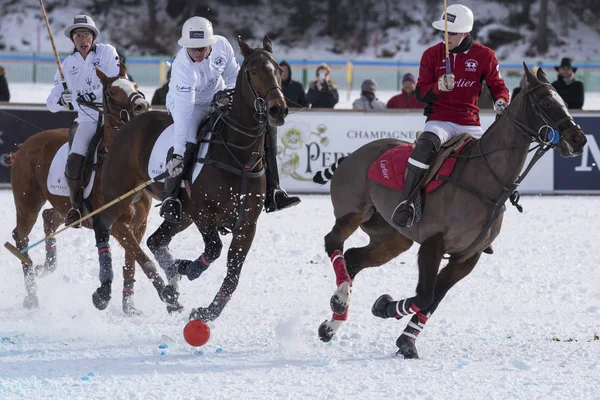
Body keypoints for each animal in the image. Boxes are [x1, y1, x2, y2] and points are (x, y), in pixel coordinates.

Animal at [9, 65, 169, 316]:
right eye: (112, 92)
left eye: (134, 85)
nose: (143, 106)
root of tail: (24, 145)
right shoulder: (117, 223)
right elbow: (143, 259)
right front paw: (168, 295)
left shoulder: (139, 223)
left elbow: (132, 262)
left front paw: (129, 308)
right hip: (27, 203)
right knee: (20, 236)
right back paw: (32, 296)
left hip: (63, 205)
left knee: (49, 217)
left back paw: (46, 267)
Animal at [90, 36, 290, 320]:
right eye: (252, 71)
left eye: (278, 71)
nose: (277, 110)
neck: (238, 155)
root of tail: (128, 124)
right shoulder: (202, 211)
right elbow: (214, 248)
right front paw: (186, 267)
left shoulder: (247, 224)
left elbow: (233, 273)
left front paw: (208, 311)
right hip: (120, 194)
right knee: (107, 226)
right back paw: (108, 290)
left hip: (179, 214)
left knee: (153, 240)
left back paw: (169, 286)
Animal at [316, 65, 588, 360]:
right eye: (547, 102)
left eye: (563, 100)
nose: (579, 140)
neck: (486, 180)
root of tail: (352, 155)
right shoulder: (433, 243)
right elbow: (425, 295)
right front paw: (384, 306)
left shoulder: (467, 257)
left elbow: (433, 299)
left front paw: (406, 341)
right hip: (353, 211)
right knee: (333, 241)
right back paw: (340, 300)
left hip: (394, 238)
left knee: (354, 258)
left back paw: (332, 324)